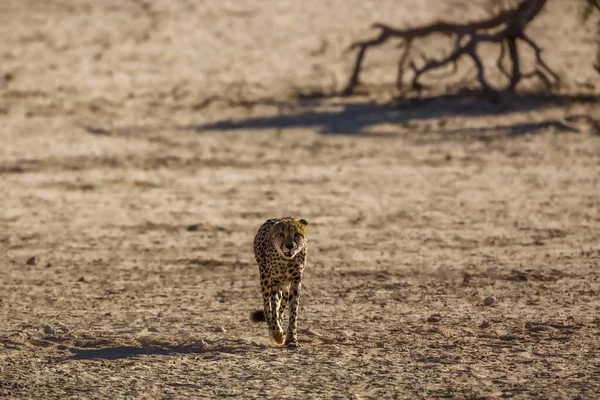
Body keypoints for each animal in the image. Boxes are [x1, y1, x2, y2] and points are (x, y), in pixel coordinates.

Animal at [250, 216, 308, 346]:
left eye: (297, 234)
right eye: (281, 234)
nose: (289, 246)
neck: (286, 260)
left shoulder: (296, 281)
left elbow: (293, 312)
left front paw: (292, 339)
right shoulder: (275, 282)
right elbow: (274, 310)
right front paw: (277, 336)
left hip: (284, 287)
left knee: (281, 308)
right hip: (265, 279)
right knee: (267, 309)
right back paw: (273, 332)